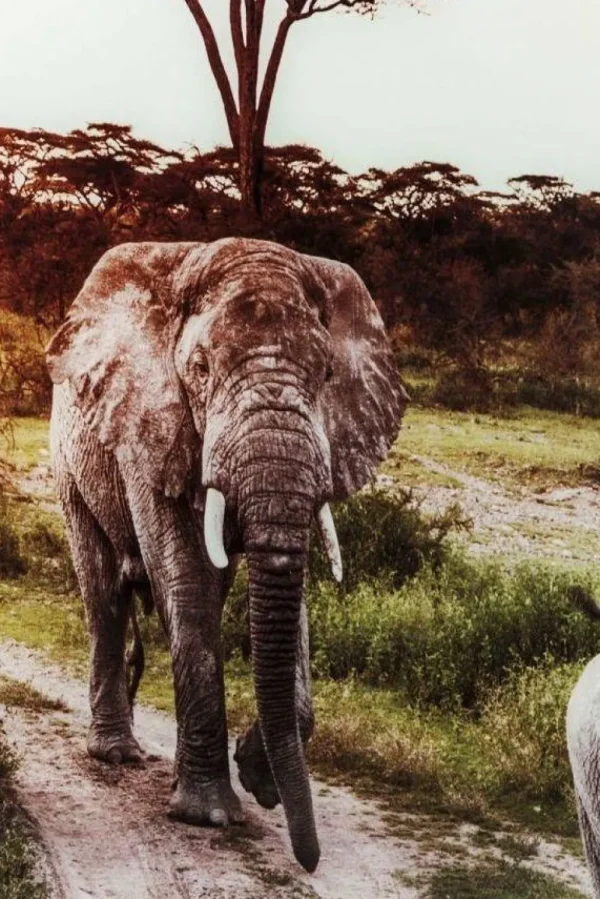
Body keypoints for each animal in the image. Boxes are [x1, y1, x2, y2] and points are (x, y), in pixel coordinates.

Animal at [46, 236, 406, 872]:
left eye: (327, 373)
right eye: (201, 370)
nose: (309, 861)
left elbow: (288, 587)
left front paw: (260, 781)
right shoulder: (147, 426)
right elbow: (186, 578)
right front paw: (209, 815)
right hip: (70, 463)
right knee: (105, 595)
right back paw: (116, 754)